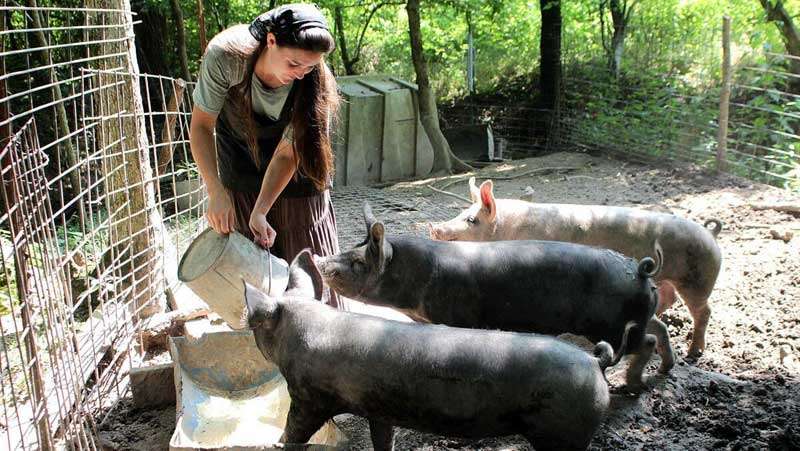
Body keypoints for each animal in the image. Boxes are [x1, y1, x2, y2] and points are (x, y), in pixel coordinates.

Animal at [245, 249, 617, 451]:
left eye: (255, 325)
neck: (305, 331)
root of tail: (594, 360)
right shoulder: (377, 408)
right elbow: (383, 438)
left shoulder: (310, 395)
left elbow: (295, 429)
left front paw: (276, 441)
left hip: (563, 431)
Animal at [315, 203, 672, 390]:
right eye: (353, 249)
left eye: (359, 263)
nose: (321, 262)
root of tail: (641, 272)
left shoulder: (458, 318)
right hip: (638, 315)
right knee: (659, 329)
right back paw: (663, 370)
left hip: (609, 325)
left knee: (645, 342)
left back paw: (633, 386)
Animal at [428, 177, 723, 358]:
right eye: (461, 213)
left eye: (471, 219)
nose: (433, 228)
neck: (507, 228)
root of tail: (712, 236)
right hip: (671, 280)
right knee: (670, 299)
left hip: (697, 280)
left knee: (704, 311)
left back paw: (694, 352)